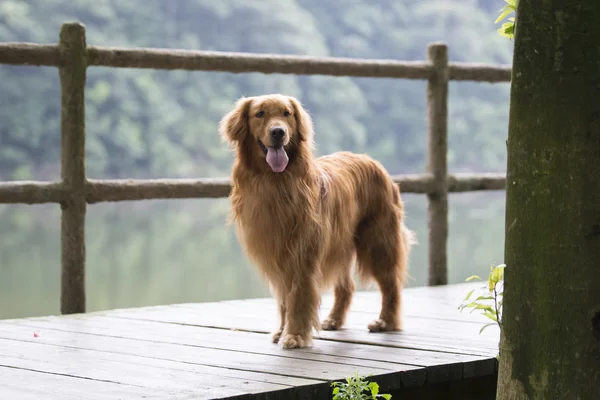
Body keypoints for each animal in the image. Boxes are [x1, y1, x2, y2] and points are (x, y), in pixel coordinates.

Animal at [218, 95, 414, 348]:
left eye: (287, 113)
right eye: (260, 114)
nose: (278, 132)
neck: (276, 183)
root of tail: (372, 160)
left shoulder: (303, 253)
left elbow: (299, 296)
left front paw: (294, 335)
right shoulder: (278, 255)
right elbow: (284, 298)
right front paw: (282, 331)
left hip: (377, 240)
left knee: (391, 284)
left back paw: (386, 321)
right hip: (340, 243)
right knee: (347, 286)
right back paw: (334, 320)